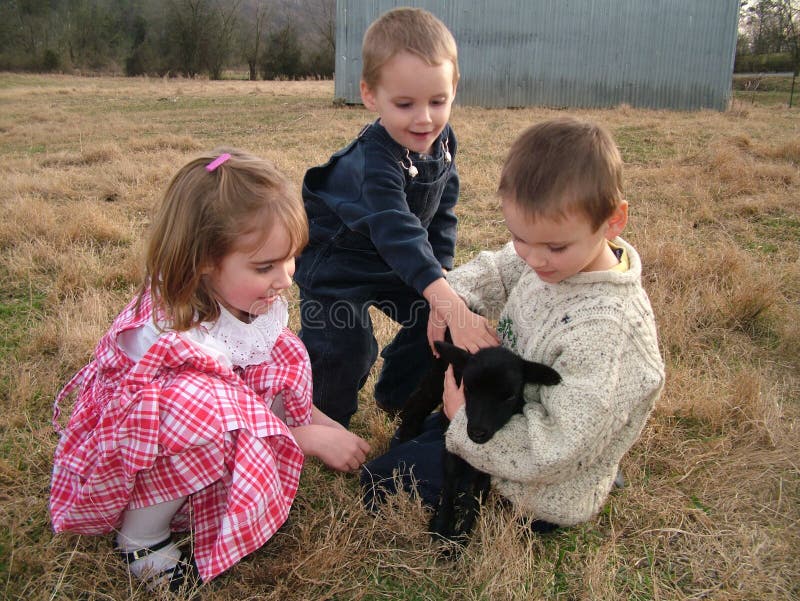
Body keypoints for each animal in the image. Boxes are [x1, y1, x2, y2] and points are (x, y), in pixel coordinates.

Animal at [396, 340, 560, 548]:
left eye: (510, 396)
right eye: (468, 389)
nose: (477, 432)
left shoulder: (488, 463)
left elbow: (476, 496)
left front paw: (460, 540)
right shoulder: (452, 445)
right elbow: (450, 482)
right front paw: (441, 528)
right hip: (436, 377)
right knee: (417, 402)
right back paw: (404, 437)